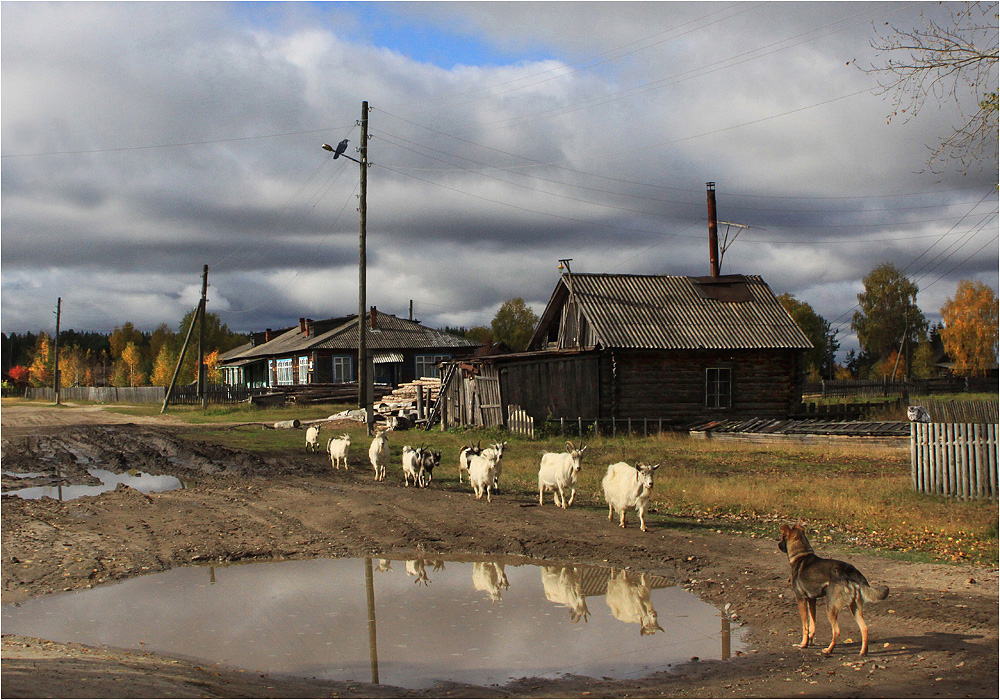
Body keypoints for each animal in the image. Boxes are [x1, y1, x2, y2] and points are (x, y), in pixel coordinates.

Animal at [776, 524, 888, 652]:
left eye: (782, 538)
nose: (778, 544)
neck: (801, 555)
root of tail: (850, 571)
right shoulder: (812, 600)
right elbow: (812, 624)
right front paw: (811, 642)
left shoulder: (801, 599)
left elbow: (805, 626)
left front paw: (803, 644)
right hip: (855, 608)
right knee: (864, 628)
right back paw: (863, 652)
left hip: (831, 608)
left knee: (837, 631)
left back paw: (829, 650)